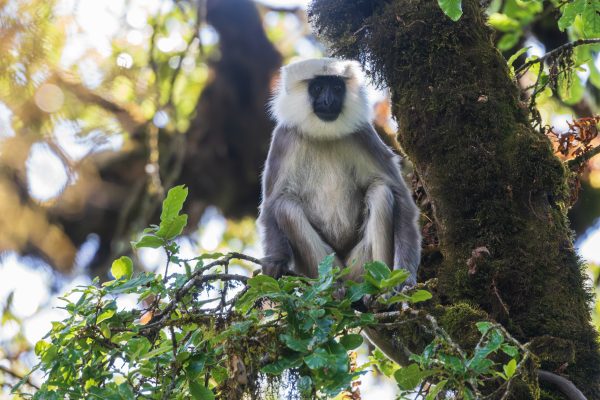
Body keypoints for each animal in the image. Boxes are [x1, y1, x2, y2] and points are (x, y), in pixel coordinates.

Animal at [258, 56, 422, 288]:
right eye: (318, 88)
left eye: (336, 88)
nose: (328, 101)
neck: (324, 135)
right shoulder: (284, 138)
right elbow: (272, 204)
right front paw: (276, 262)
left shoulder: (363, 133)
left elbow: (400, 195)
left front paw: (405, 277)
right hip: (325, 267)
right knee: (285, 206)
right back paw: (335, 289)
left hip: (360, 265)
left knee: (381, 191)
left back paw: (380, 290)